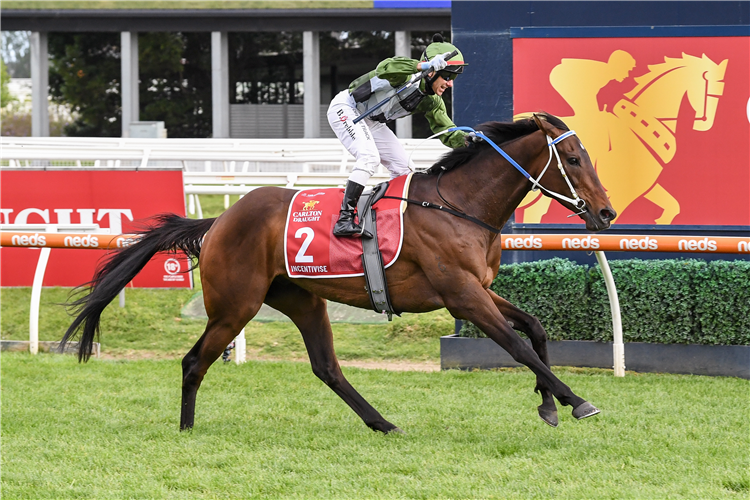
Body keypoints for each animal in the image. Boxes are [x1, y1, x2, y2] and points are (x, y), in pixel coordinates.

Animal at [63, 112, 616, 430]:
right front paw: (575, 400)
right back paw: (186, 429)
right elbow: (518, 346)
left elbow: (535, 328)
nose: (607, 214)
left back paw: (384, 424)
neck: (459, 205)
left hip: (301, 299)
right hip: (235, 306)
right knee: (194, 361)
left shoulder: (478, 289)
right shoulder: (460, 294)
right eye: (572, 158)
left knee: (326, 367)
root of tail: (218, 220)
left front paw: (549, 404)